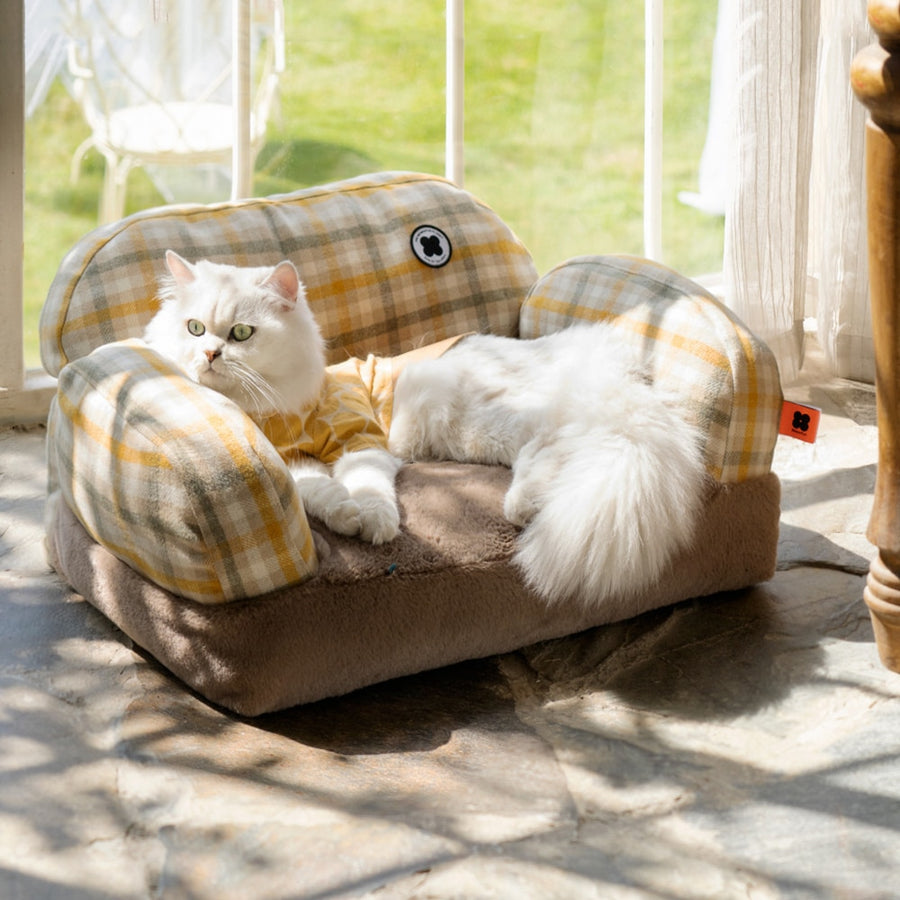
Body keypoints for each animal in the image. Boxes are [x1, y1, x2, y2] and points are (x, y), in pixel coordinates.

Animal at [148, 250, 708, 608]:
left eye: (242, 333)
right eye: (195, 329)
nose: (210, 354)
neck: (272, 411)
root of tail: (611, 362)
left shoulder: (361, 443)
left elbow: (370, 489)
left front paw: (374, 524)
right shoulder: (292, 462)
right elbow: (319, 495)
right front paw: (346, 517)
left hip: (483, 420)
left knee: (560, 441)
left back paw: (522, 507)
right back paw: (526, 505)